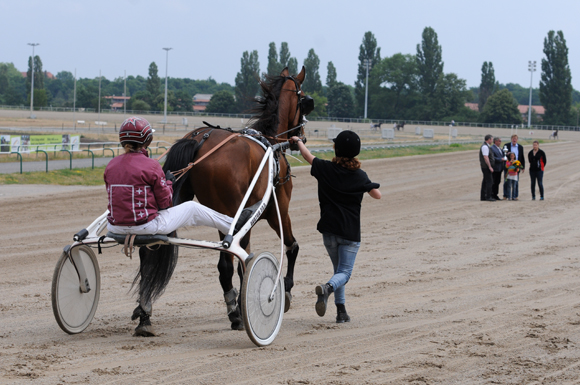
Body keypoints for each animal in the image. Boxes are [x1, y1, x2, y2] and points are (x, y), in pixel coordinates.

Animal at [130, 67, 312, 332]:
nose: (302, 137)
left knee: (150, 249)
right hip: (229, 211)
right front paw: (284, 291)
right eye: (304, 100)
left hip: (183, 199)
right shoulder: (277, 213)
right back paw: (235, 313)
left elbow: (242, 261)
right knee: (226, 263)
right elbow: (290, 247)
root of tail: (200, 139)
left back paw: (145, 311)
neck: (270, 144)